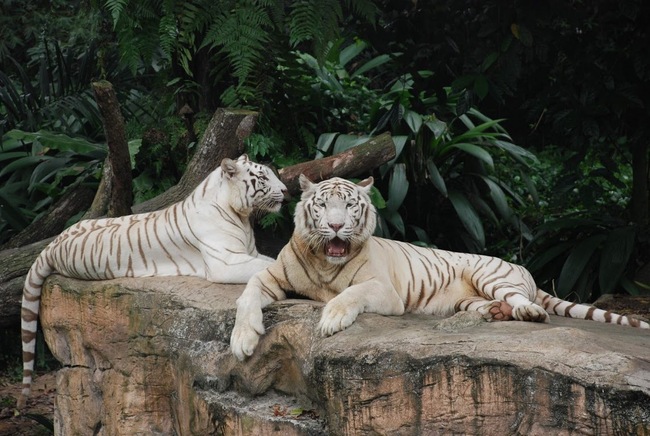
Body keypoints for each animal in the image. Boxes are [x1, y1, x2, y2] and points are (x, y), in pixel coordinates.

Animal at [17, 154, 286, 408]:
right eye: (263, 177)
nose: (285, 190)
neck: (240, 217)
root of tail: (54, 241)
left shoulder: (250, 253)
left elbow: (272, 260)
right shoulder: (225, 262)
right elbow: (265, 268)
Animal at [230, 174, 644, 362]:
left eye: (349, 206)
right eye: (322, 205)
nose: (334, 226)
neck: (324, 261)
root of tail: (524, 269)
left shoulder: (384, 290)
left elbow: (349, 293)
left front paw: (331, 319)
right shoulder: (271, 275)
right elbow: (247, 295)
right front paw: (242, 340)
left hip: (491, 275)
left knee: (527, 303)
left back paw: (526, 311)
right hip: (466, 300)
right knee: (492, 305)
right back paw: (495, 313)